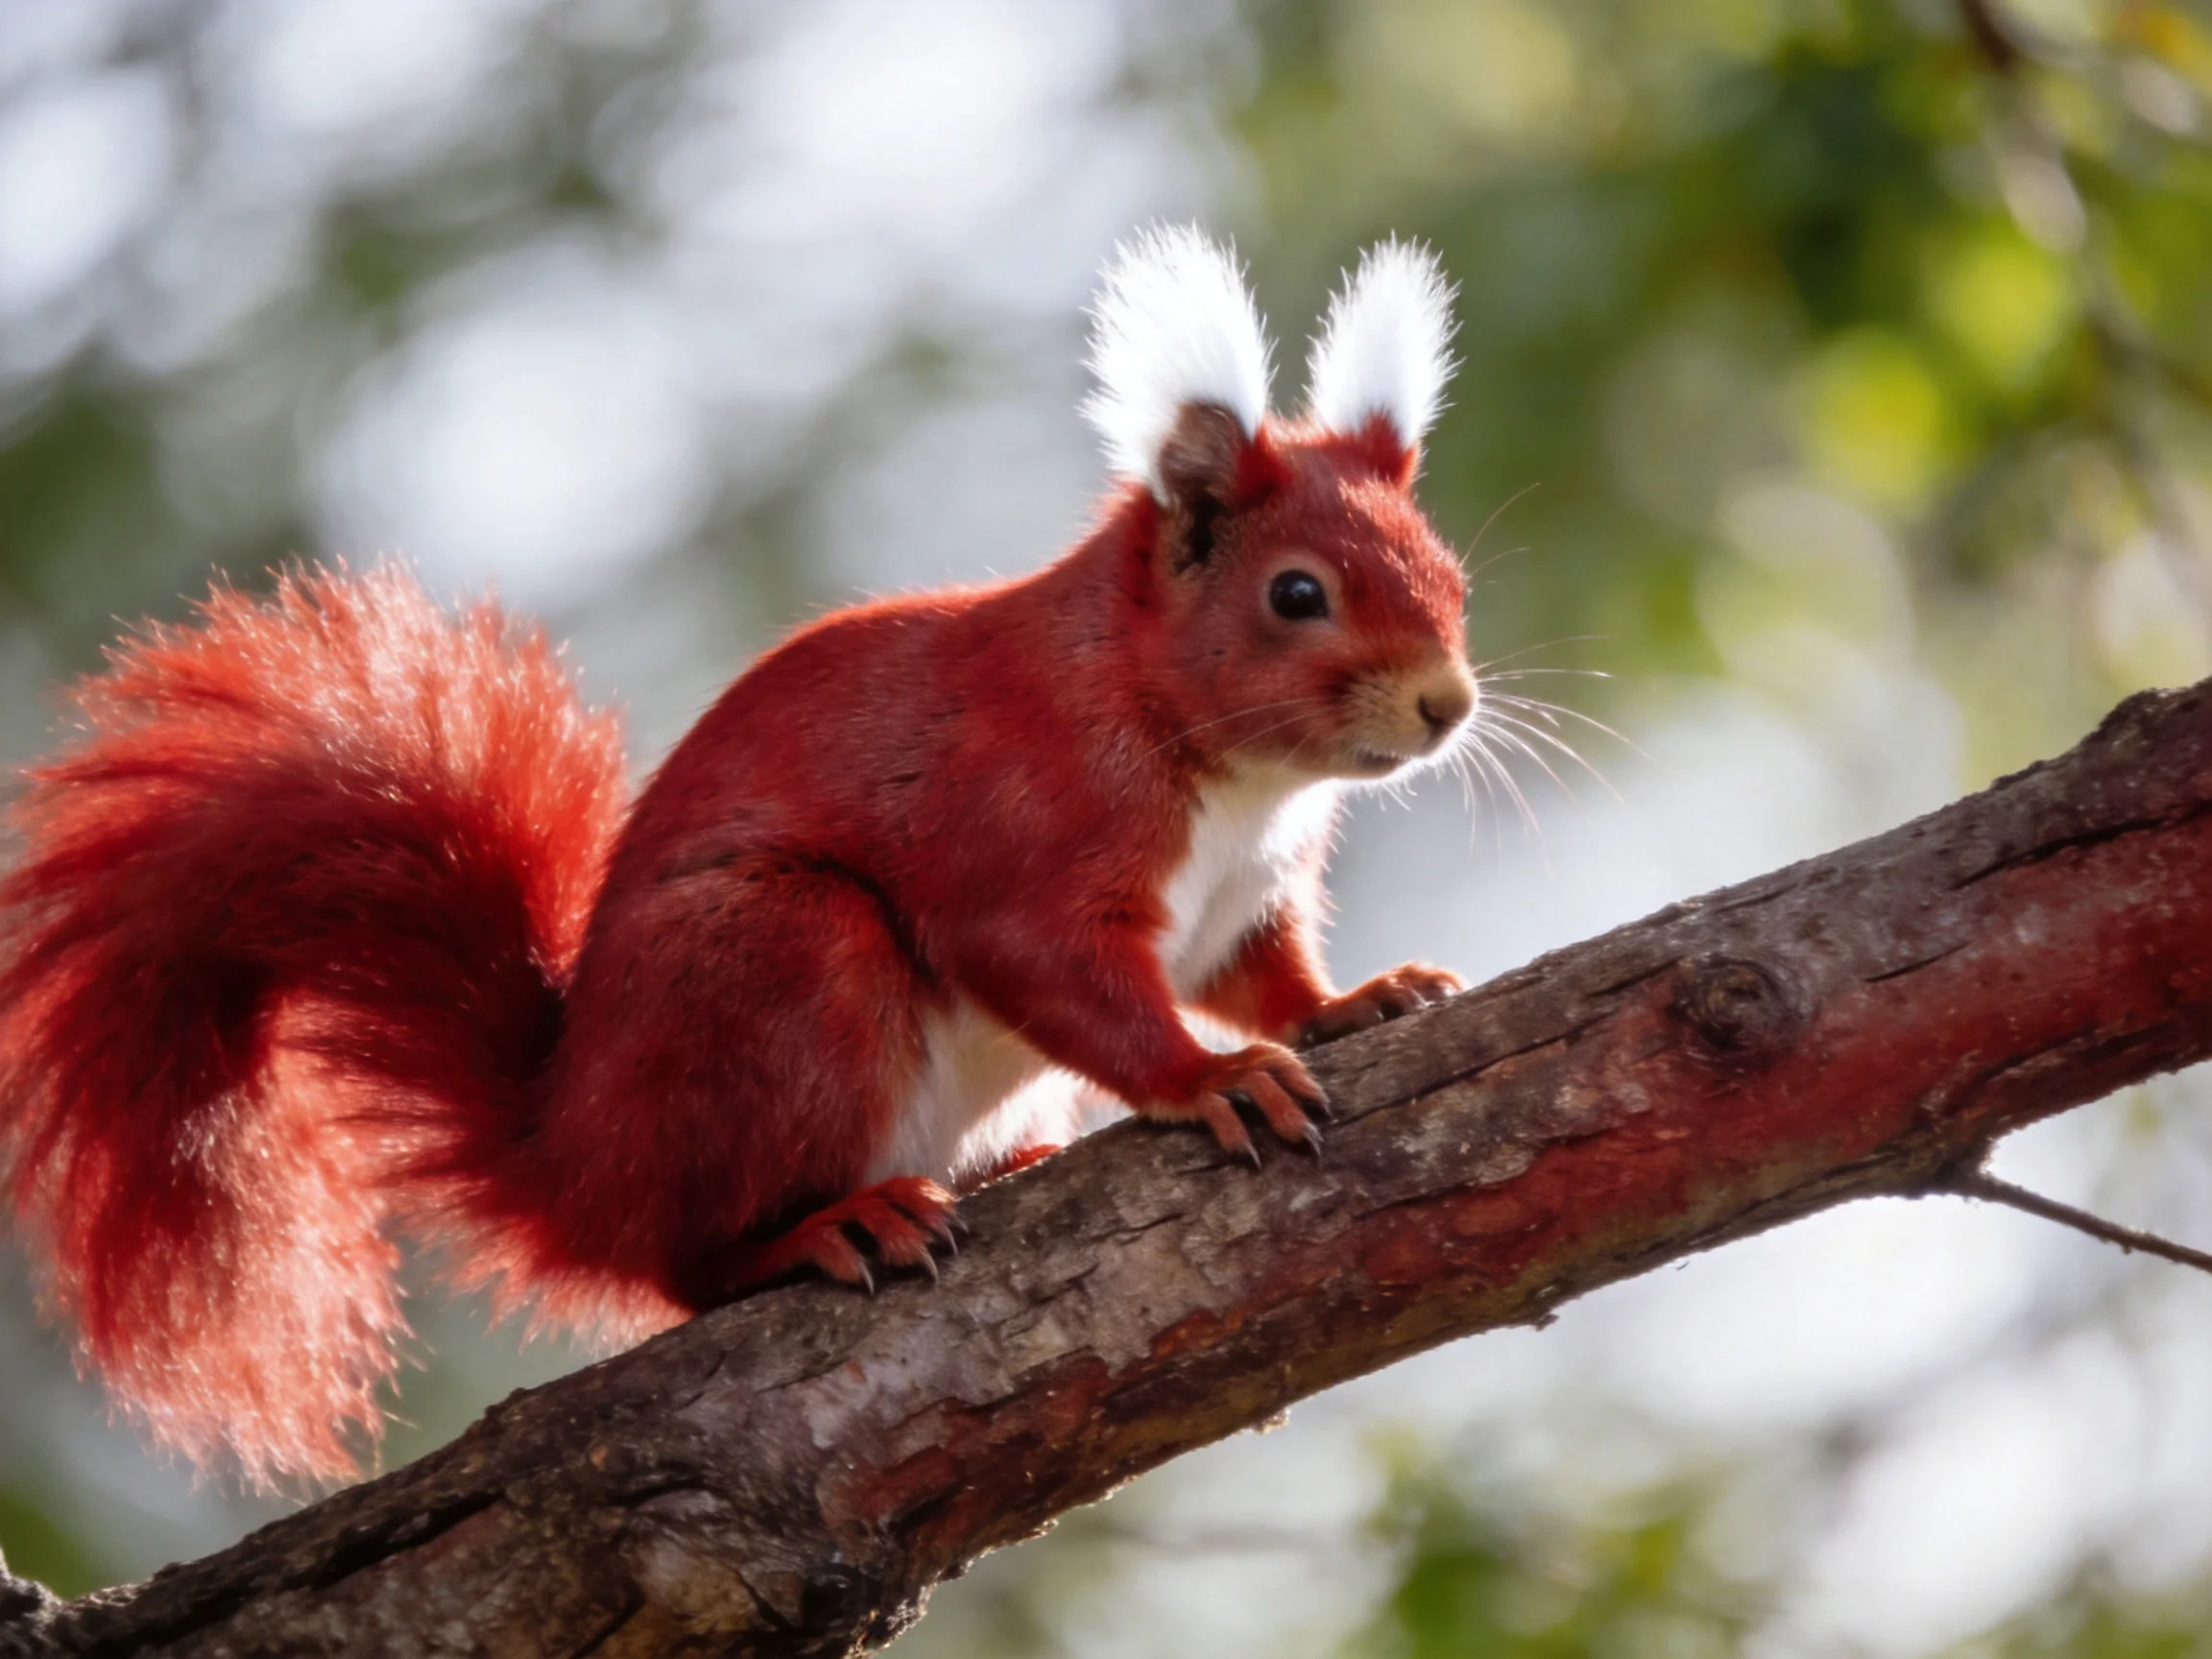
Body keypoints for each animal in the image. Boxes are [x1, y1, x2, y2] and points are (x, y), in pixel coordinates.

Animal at [0, 227, 1477, 1487]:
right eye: (1296, 594)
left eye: (1450, 572)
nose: (1448, 706)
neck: (1230, 774)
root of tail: (568, 1161)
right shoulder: (1026, 827)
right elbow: (1067, 978)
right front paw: (1210, 1077)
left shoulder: (1241, 900)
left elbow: (1260, 973)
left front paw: (1357, 1000)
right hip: (787, 963)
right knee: (688, 1266)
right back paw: (831, 1226)